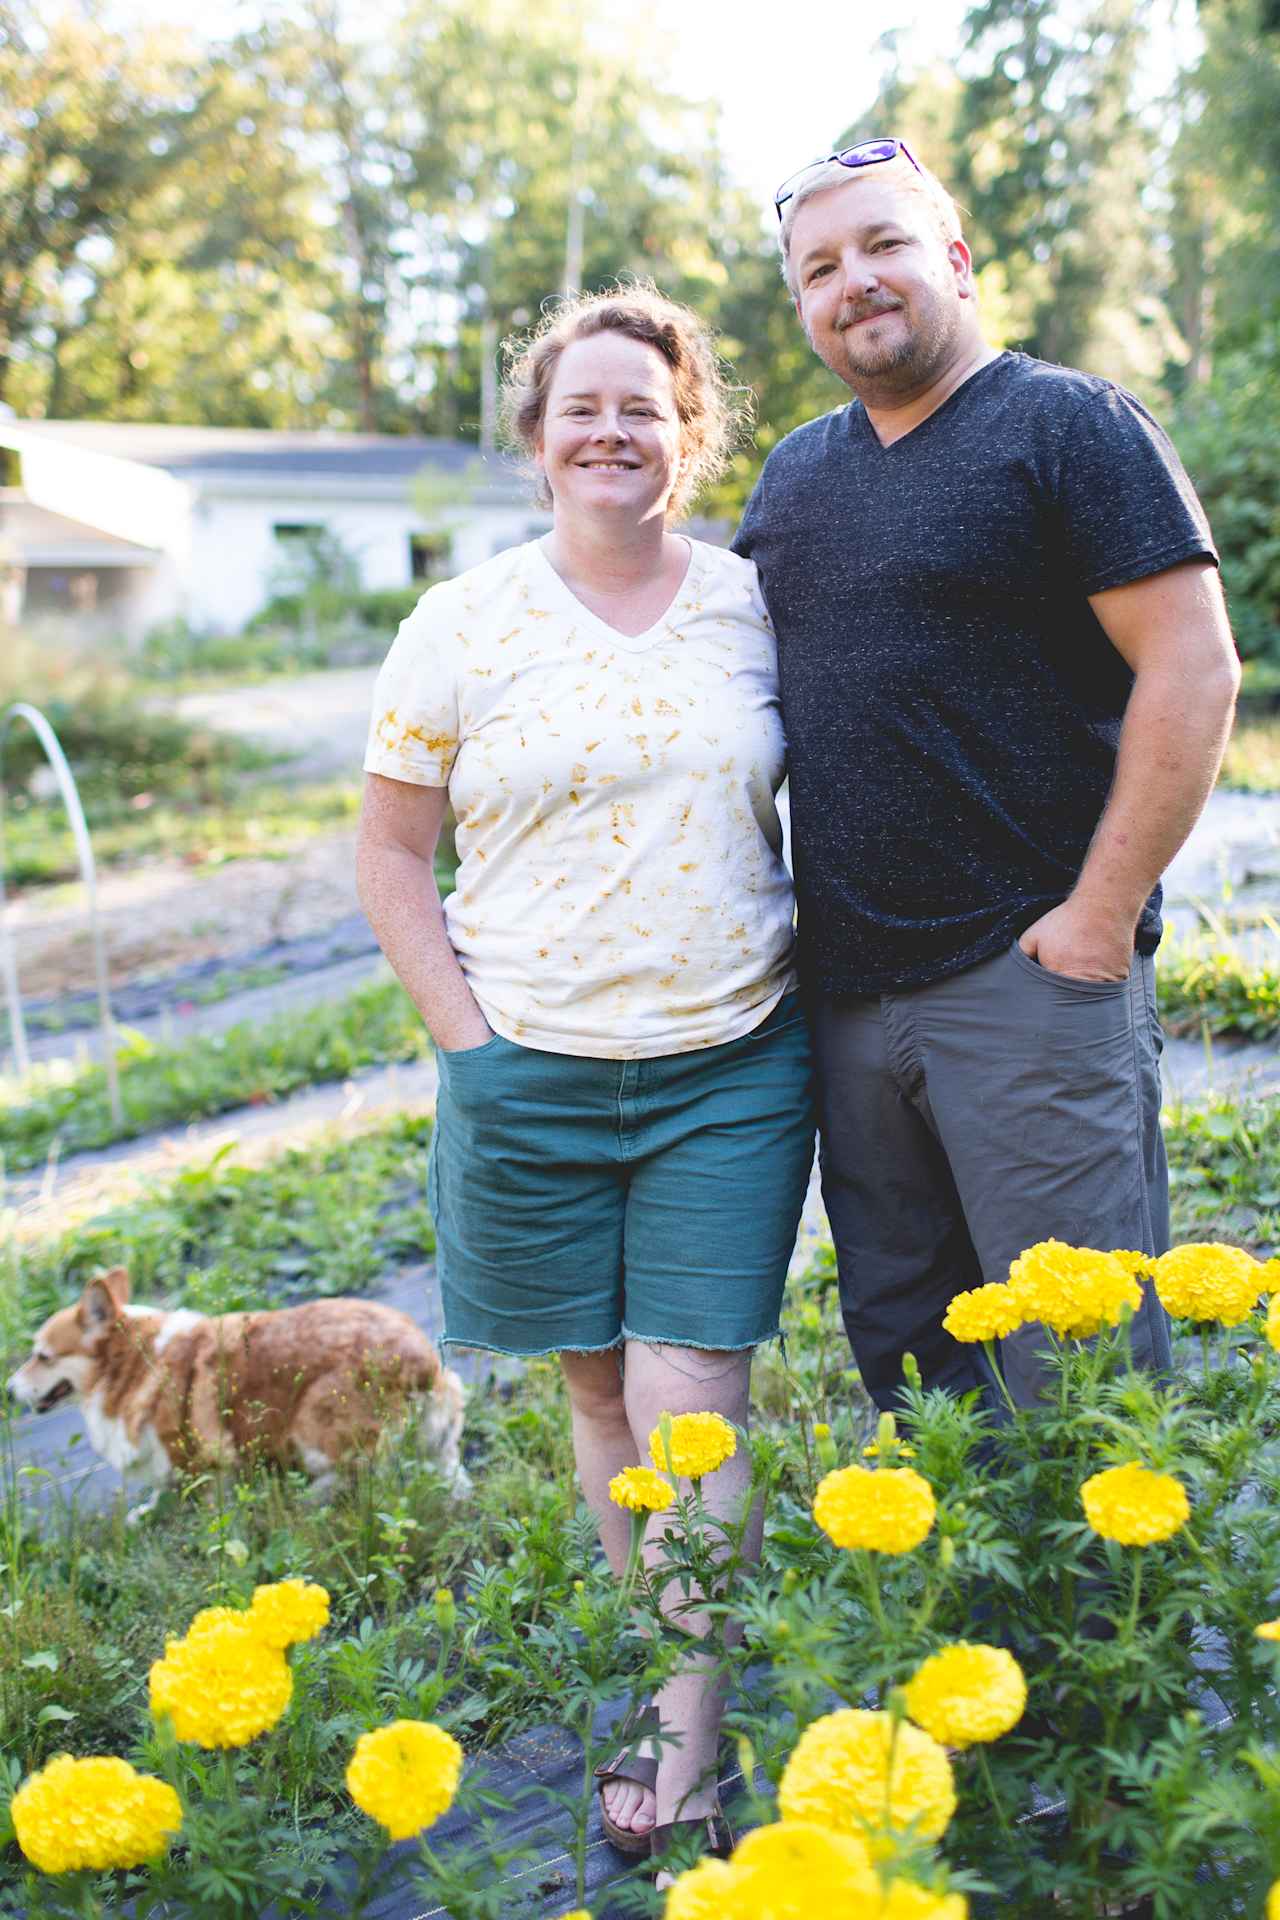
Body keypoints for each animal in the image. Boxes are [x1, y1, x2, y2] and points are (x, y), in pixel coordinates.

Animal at [7, 1267, 468, 1520]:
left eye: (42, 1356)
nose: (9, 1391)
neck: (134, 1363)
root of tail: (419, 1359)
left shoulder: (201, 1463)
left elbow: (210, 1506)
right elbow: (160, 1491)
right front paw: (147, 1513)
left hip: (313, 1424)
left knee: (356, 1473)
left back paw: (309, 1496)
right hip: (439, 1428)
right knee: (450, 1470)